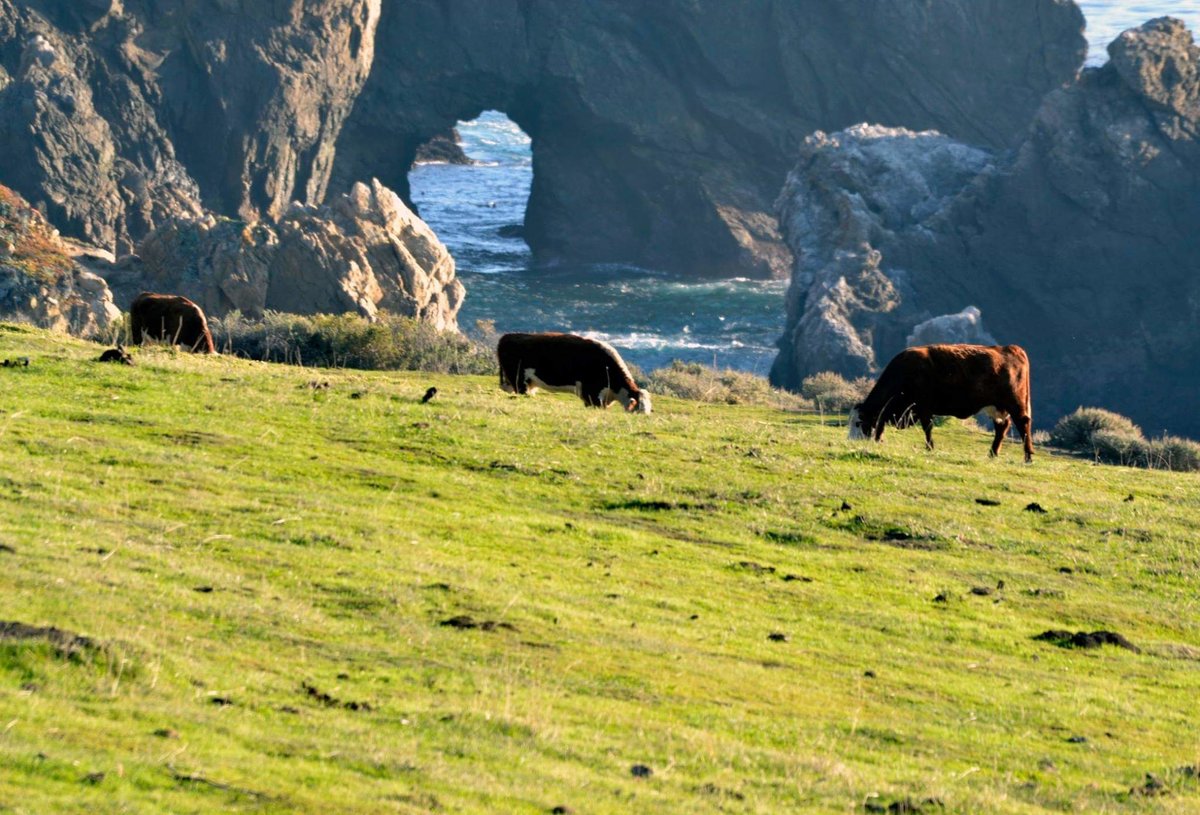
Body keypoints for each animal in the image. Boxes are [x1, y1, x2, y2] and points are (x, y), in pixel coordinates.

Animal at [848, 344, 1033, 462]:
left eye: (858, 423)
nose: (850, 441)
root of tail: (1010, 348)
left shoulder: (923, 406)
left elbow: (927, 427)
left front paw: (930, 447)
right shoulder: (897, 408)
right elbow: (882, 421)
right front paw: (878, 440)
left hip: (1015, 403)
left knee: (1023, 424)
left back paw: (1028, 456)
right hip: (996, 407)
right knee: (1002, 427)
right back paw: (992, 454)